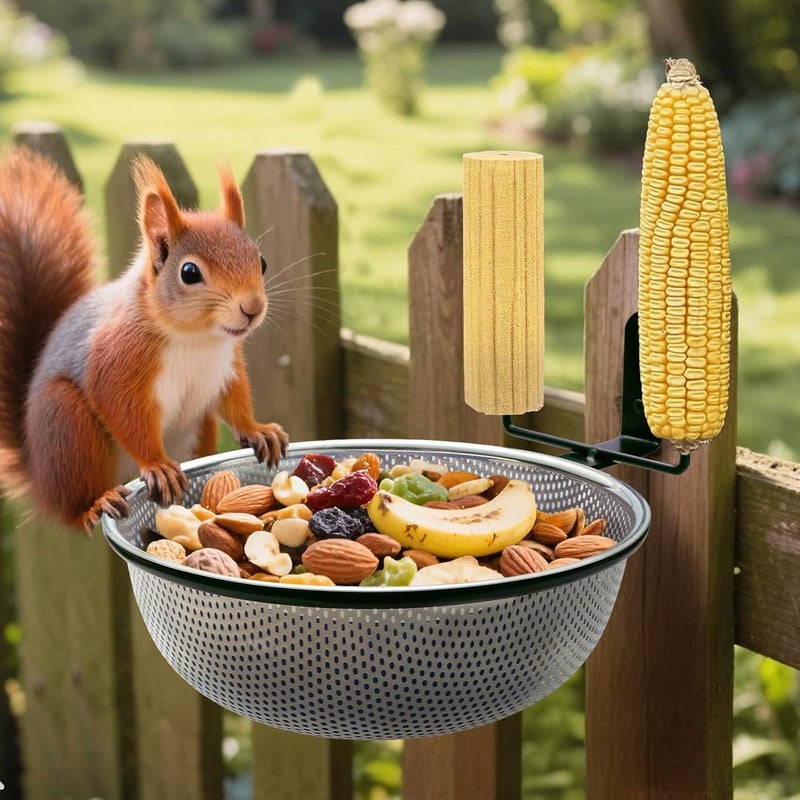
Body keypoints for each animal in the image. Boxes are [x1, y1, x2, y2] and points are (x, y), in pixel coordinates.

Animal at [0, 145, 288, 533]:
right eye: (189, 272)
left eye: (262, 262)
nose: (252, 308)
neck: (197, 339)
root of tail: (40, 479)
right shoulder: (118, 359)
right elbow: (122, 409)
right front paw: (156, 465)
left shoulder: (225, 365)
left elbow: (235, 398)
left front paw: (258, 430)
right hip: (67, 427)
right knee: (73, 507)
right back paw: (94, 504)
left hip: (199, 429)